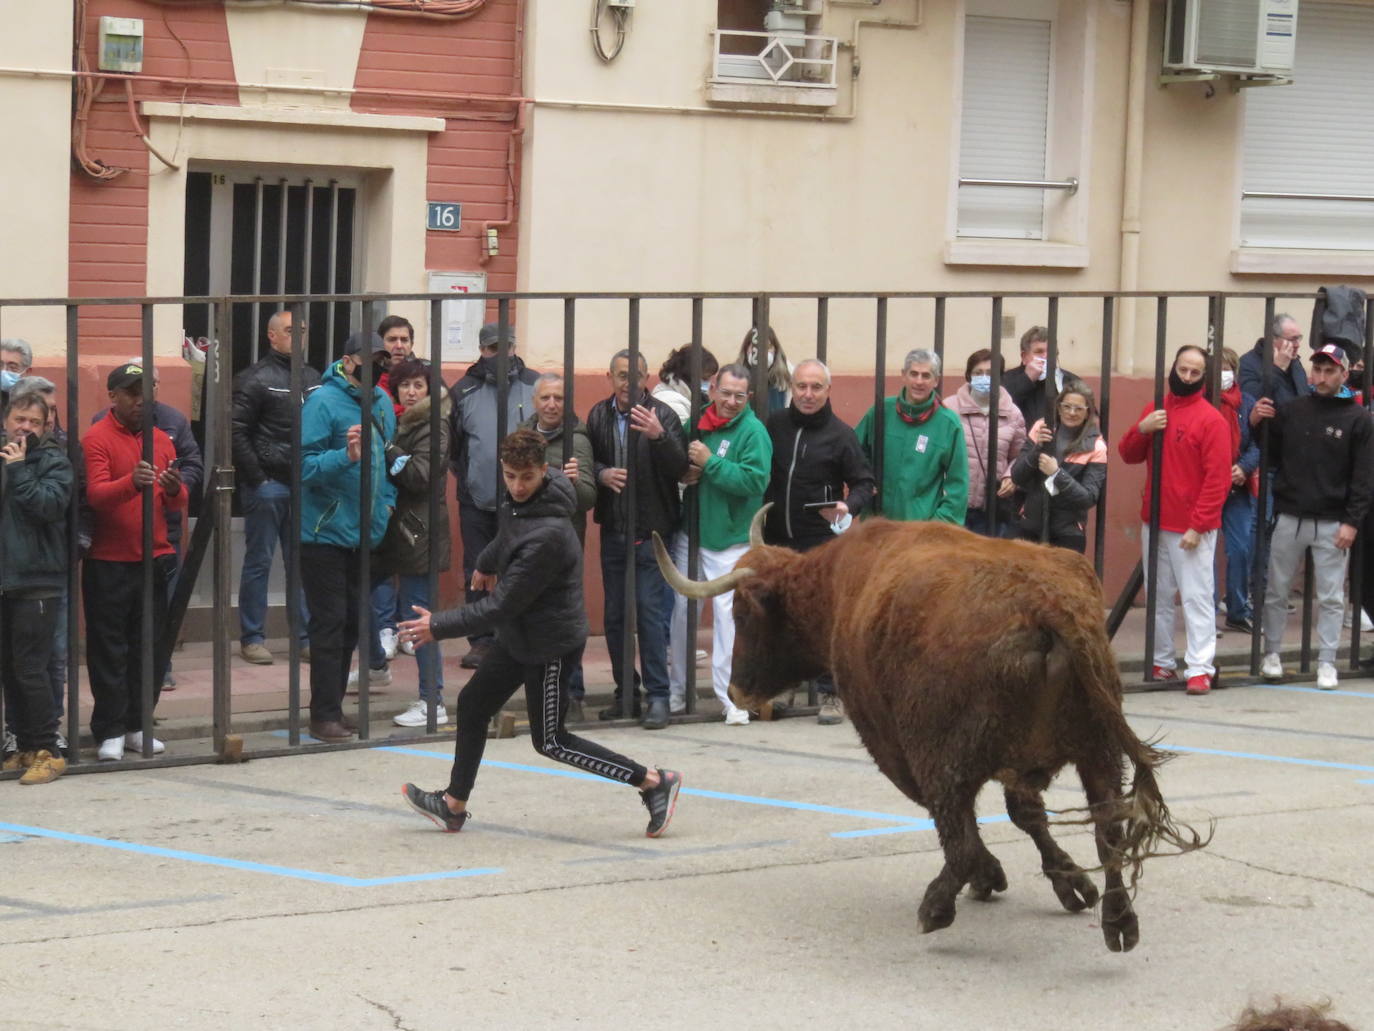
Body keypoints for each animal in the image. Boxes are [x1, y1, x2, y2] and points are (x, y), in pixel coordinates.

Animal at [654, 505, 1203, 951]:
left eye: (743, 612)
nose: (738, 691)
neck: (840, 586)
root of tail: (1043, 604)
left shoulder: (892, 741)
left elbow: (969, 825)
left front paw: (991, 876)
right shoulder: (1018, 766)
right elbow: (1026, 815)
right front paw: (1069, 883)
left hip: (948, 756)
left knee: (958, 836)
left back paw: (937, 906)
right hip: (1098, 753)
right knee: (1108, 828)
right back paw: (1118, 921)